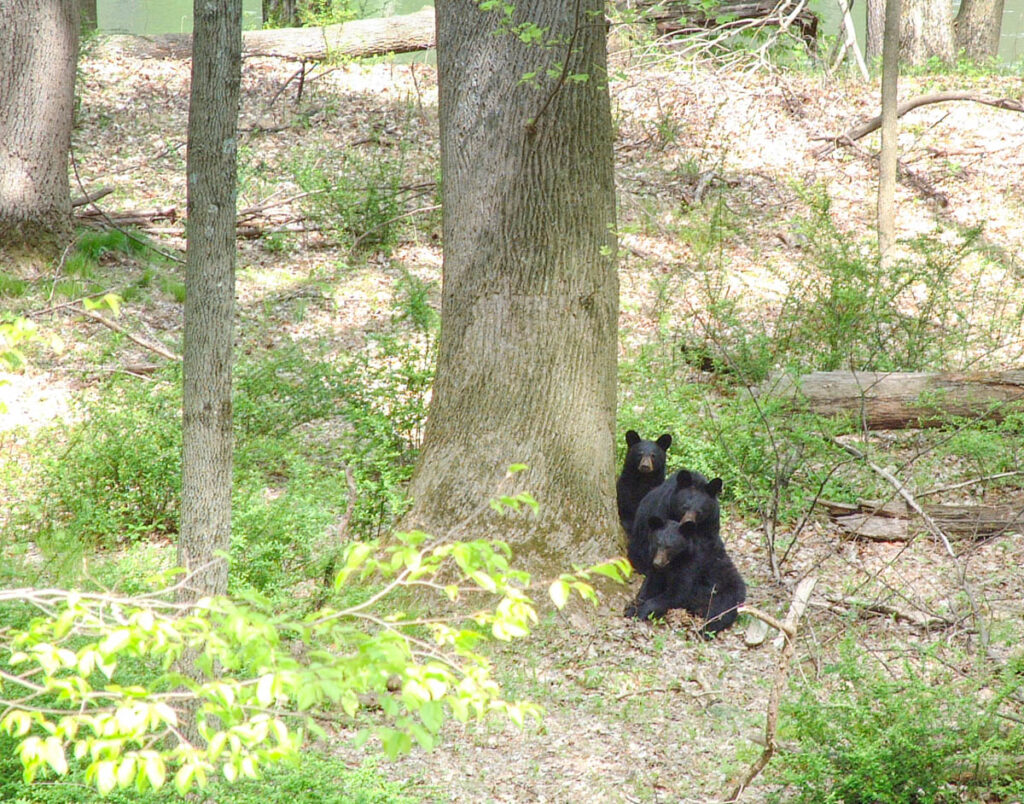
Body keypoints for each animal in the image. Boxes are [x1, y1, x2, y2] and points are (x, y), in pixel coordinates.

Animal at [625, 472, 745, 636]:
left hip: (725, 596)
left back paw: (704, 631)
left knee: (720, 614)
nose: (689, 523)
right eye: (684, 507)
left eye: (700, 512)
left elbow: (677, 592)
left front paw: (641, 611)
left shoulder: (710, 527)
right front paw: (633, 608)